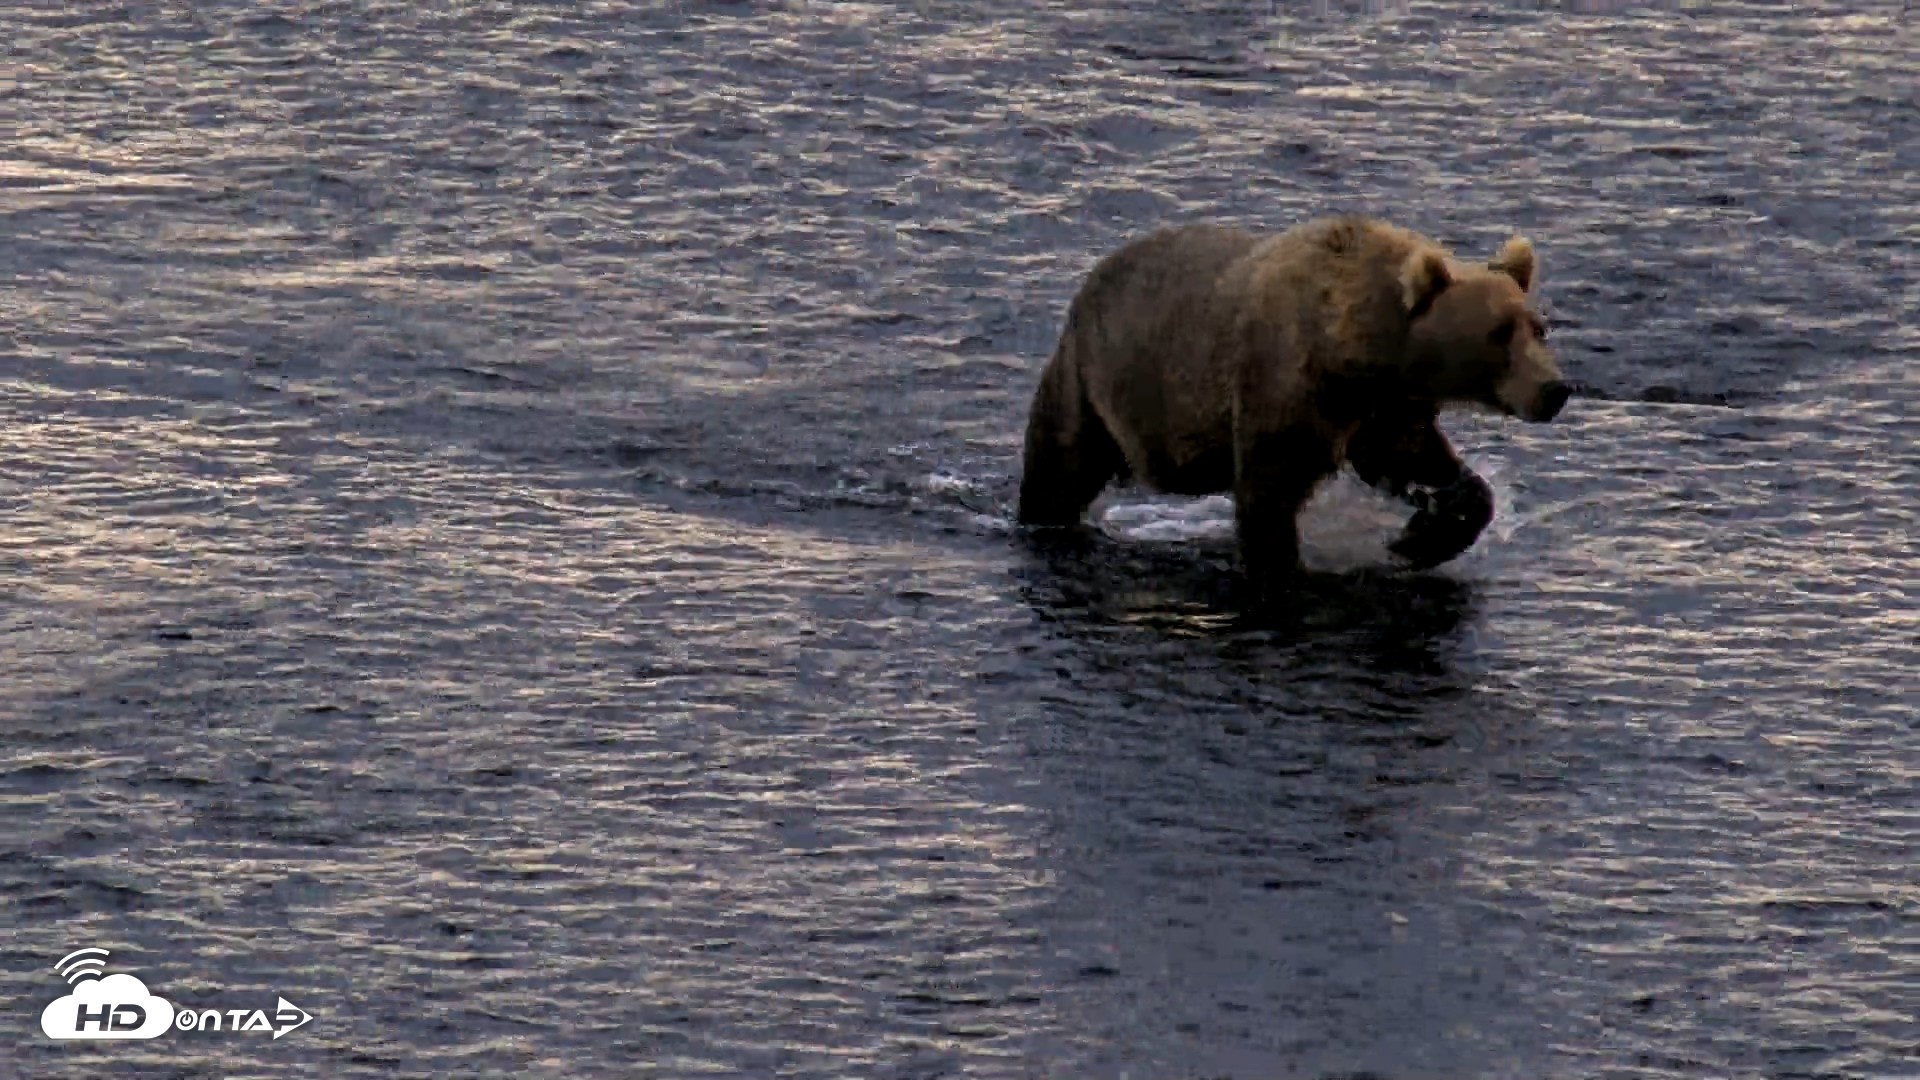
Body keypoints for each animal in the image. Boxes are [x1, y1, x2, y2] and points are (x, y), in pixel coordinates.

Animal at [1016, 214, 1569, 602]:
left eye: (1538, 327)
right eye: (1498, 333)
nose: (1554, 389)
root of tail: (1092, 277)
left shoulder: (1382, 408)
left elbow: (1413, 460)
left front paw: (1422, 534)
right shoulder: (1285, 388)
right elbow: (1270, 496)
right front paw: (1284, 571)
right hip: (1092, 380)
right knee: (1059, 469)